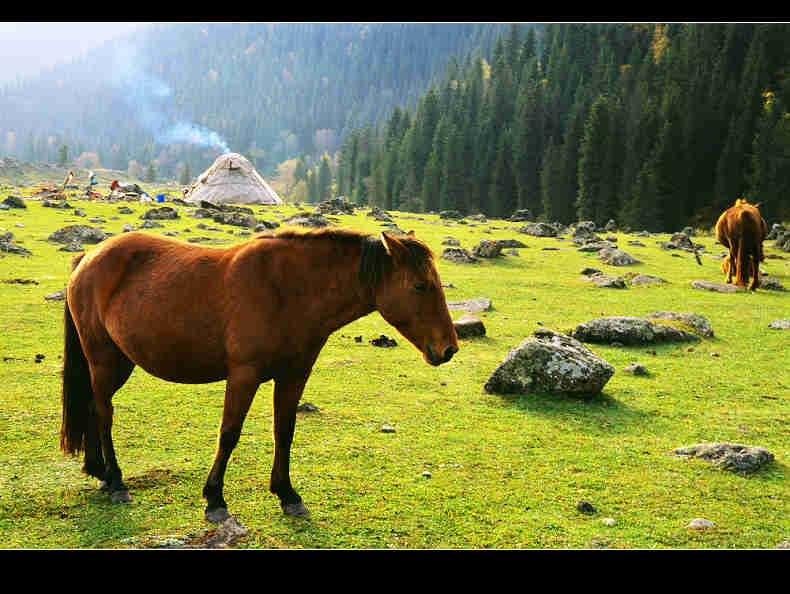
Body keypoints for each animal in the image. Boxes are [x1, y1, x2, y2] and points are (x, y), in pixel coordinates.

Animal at [60, 227, 458, 520]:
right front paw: (215, 498)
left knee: (95, 408)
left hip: (119, 362)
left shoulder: (294, 376)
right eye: (420, 286)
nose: (449, 348)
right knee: (104, 413)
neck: (288, 290)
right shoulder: (244, 375)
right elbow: (229, 434)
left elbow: (285, 432)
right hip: (104, 360)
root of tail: (88, 257)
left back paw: (99, 472)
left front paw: (287, 493)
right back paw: (116, 480)